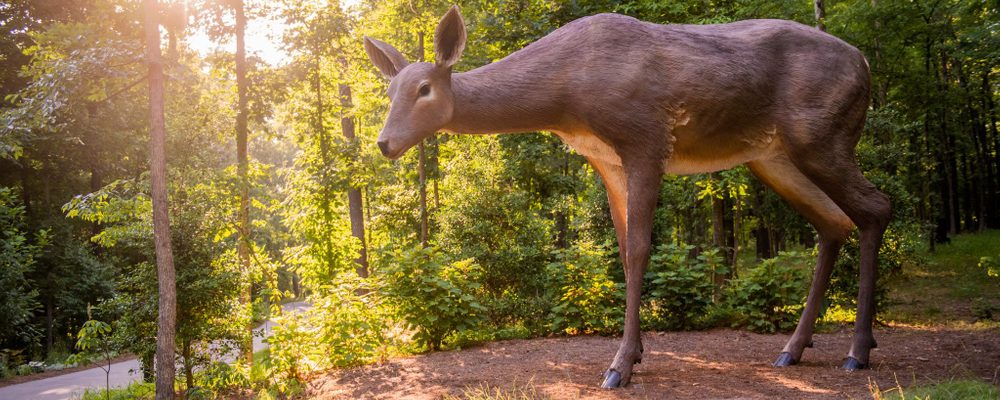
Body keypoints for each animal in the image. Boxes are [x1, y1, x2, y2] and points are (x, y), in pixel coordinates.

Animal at [364, 5, 890, 389]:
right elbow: (620, 250)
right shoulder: (605, 160)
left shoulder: (646, 139)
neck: (566, 94)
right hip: (773, 156)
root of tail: (866, 64)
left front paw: (620, 366)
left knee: (876, 208)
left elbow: (638, 249)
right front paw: (634, 353)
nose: (384, 143)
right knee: (834, 223)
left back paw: (858, 351)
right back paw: (794, 349)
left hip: (822, 137)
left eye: (424, 88)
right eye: (389, 92)